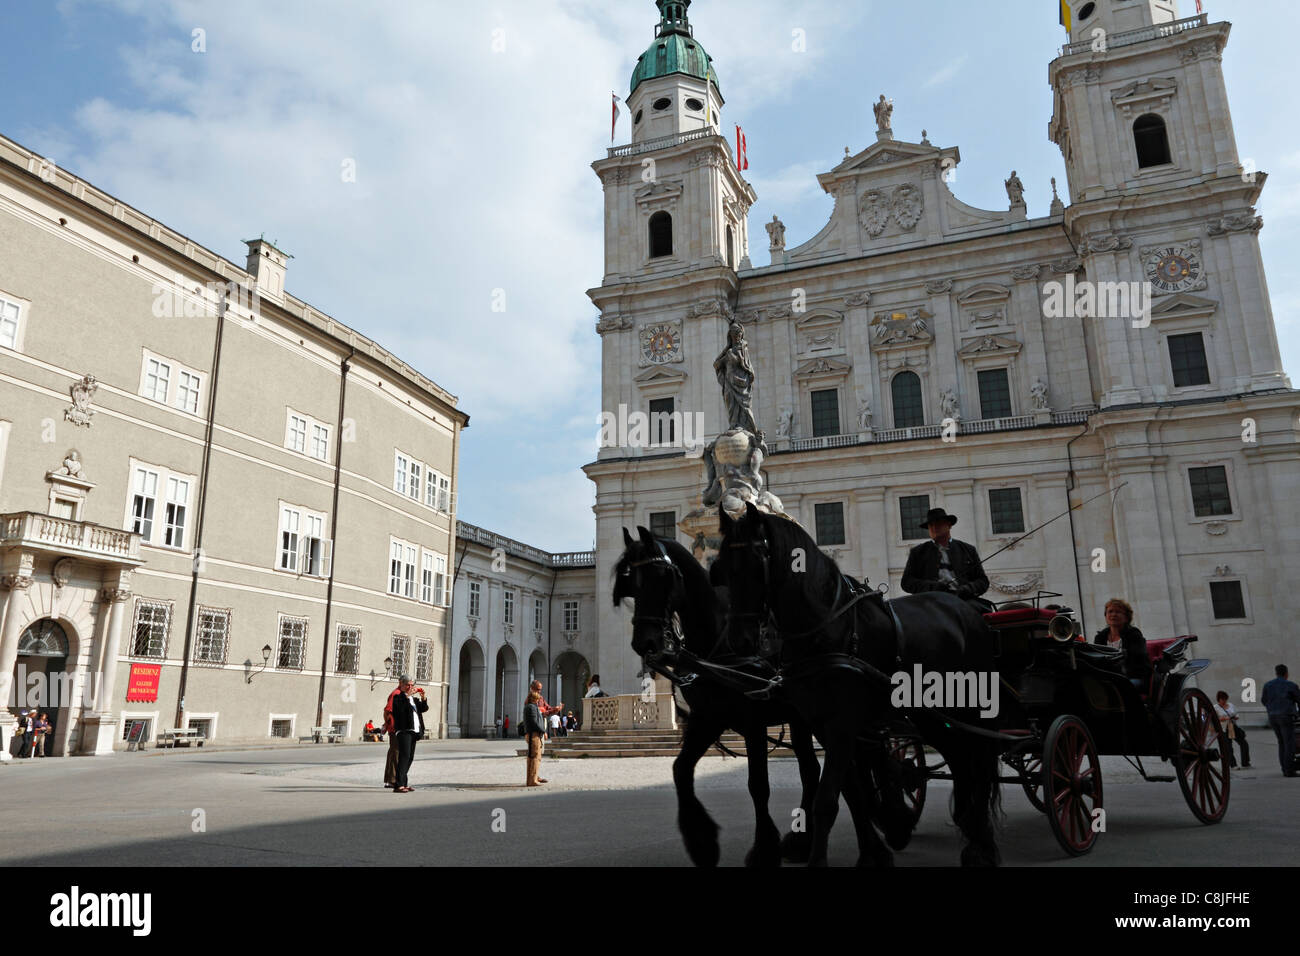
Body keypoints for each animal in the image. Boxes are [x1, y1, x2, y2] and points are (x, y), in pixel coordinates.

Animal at [613, 528, 816, 868]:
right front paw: (702, 842)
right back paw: (803, 842)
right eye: (631, 582)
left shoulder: (753, 721)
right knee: (814, 767)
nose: (645, 643)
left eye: (663, 576)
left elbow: (758, 784)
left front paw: (764, 849)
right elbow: (681, 771)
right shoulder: (707, 719)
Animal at [712, 504, 1003, 868]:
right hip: (932, 716)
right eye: (722, 568)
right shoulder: (822, 725)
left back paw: (982, 843)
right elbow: (851, 792)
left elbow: (826, 800)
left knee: (980, 760)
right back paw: (970, 829)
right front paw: (873, 852)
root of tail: (964, 608)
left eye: (757, 561)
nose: (738, 641)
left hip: (971, 707)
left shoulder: (842, 724)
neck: (826, 627)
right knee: (961, 759)